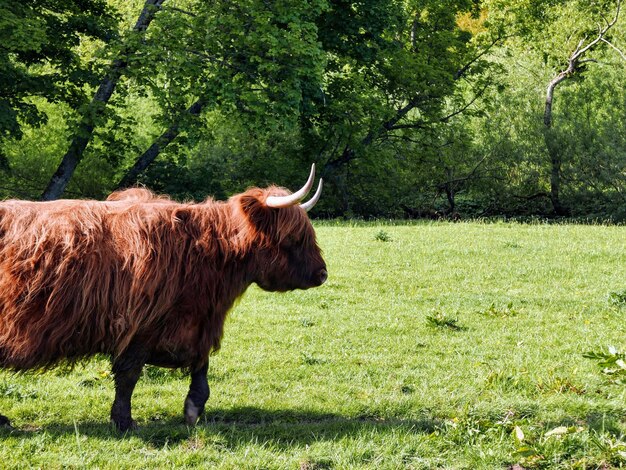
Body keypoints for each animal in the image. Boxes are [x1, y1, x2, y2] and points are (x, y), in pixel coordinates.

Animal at [0, 165, 330, 430]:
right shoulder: (140, 326)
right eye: (294, 238)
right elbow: (129, 375)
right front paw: (124, 422)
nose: (322, 273)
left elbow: (201, 367)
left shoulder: (194, 326)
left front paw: (193, 409)